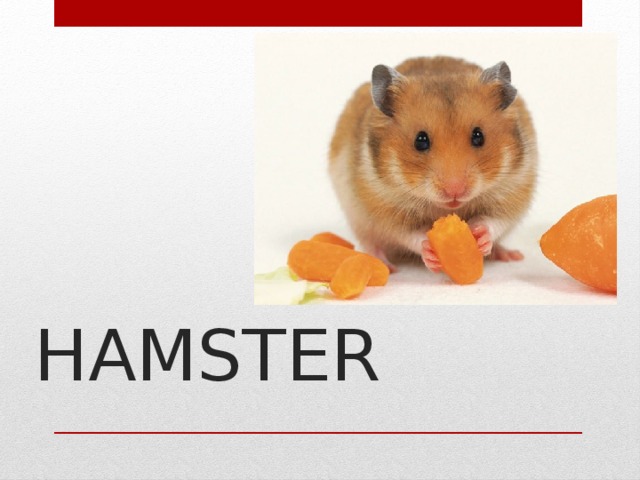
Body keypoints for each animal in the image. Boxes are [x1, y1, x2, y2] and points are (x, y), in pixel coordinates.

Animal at [328, 56, 538, 272]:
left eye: (479, 136)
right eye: (420, 140)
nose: (455, 191)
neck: (446, 208)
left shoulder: (514, 189)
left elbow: (494, 220)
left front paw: (480, 235)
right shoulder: (384, 206)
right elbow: (408, 233)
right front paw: (429, 250)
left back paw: (509, 255)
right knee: (371, 244)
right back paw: (384, 265)